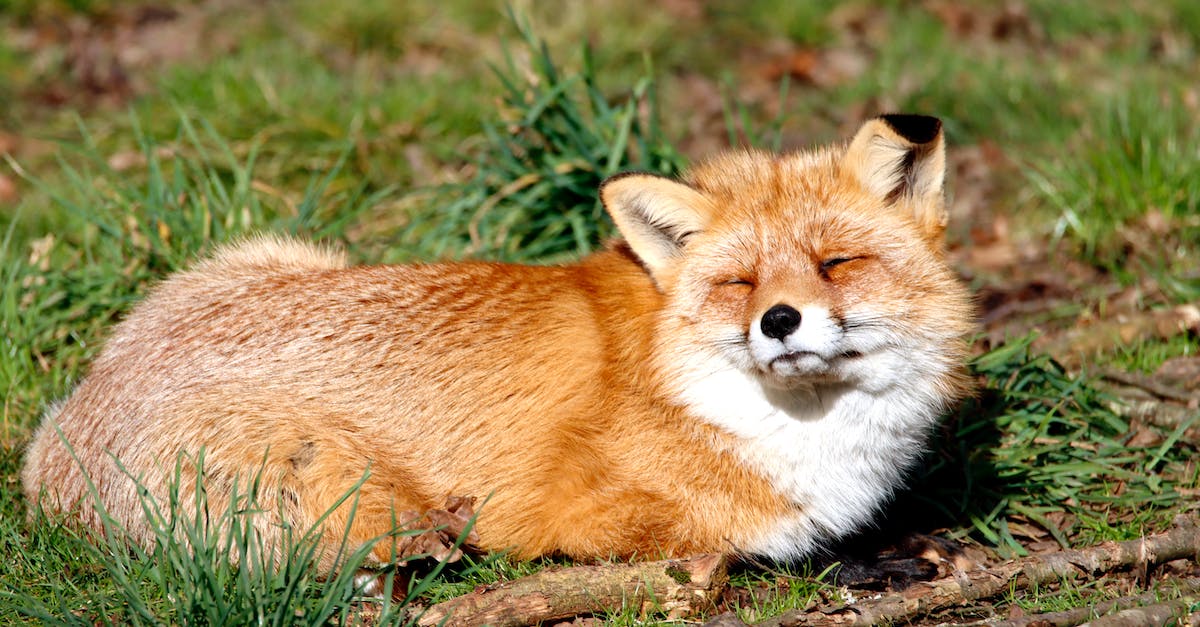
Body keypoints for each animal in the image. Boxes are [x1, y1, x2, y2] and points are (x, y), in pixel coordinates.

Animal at [22, 114, 973, 571]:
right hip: (355, 491)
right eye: (740, 283)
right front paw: (876, 559)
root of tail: (59, 435)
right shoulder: (593, 516)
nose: (779, 320)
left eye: (835, 262)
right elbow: (770, 544)